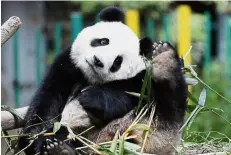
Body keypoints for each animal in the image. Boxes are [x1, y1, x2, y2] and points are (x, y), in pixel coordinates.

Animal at [18, 6, 188, 155]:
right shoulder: (67, 66)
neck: (89, 78)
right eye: (103, 41)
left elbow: (123, 98)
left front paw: (90, 97)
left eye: (118, 61)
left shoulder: (139, 81)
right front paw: (34, 139)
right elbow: (49, 100)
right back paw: (59, 148)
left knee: (170, 103)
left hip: (149, 124)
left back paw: (165, 60)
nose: (98, 61)